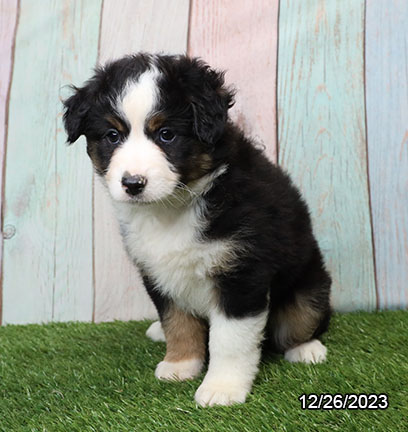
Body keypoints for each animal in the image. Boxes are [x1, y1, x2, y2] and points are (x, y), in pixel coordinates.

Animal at [63, 52, 332, 406]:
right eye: (112, 136)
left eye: (166, 134)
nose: (133, 184)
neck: (172, 208)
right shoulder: (158, 272)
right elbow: (177, 322)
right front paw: (181, 364)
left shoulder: (241, 273)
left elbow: (229, 340)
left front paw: (222, 388)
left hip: (308, 288)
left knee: (302, 322)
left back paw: (307, 349)